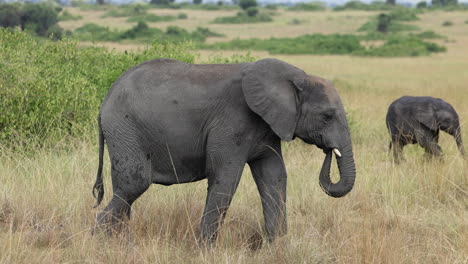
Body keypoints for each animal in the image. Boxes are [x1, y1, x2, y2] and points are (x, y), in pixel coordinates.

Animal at [90, 57, 354, 243]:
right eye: (327, 116)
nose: (329, 150)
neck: (297, 78)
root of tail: (103, 103)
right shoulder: (232, 123)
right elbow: (226, 178)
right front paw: (205, 250)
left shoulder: (269, 127)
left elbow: (274, 177)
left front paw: (278, 248)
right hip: (125, 129)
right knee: (134, 185)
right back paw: (98, 241)